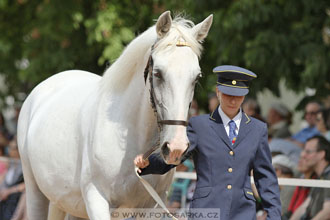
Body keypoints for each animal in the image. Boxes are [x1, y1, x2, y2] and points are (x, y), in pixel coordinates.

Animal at [17, 11, 214, 219]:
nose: (176, 148)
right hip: (35, 191)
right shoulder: (96, 199)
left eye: (197, 77)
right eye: (158, 73)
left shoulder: (153, 206)